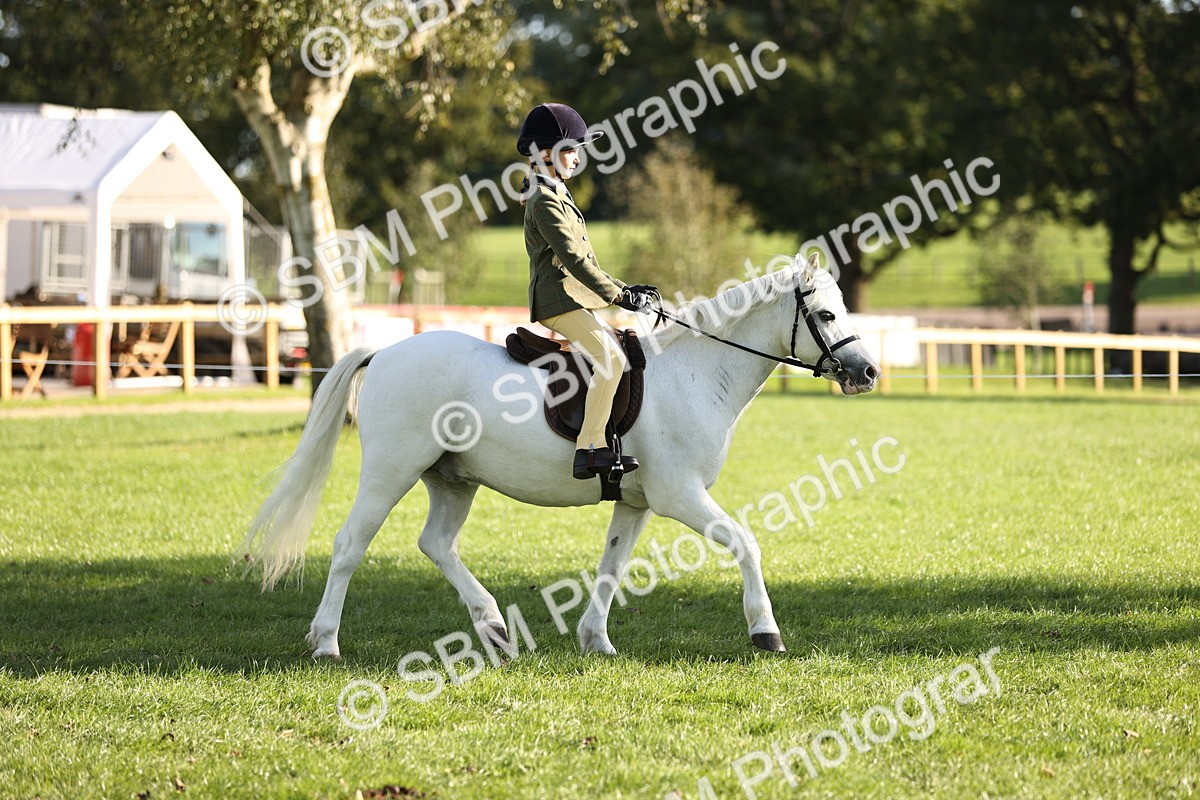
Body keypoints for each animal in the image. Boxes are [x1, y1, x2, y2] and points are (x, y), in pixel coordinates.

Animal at [245, 254, 880, 658]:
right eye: (826, 316)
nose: (868, 373)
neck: (695, 373)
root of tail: (385, 351)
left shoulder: (637, 501)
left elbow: (612, 565)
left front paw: (595, 640)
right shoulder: (679, 495)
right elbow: (746, 543)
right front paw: (766, 633)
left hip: (453, 480)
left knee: (436, 544)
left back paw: (494, 628)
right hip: (390, 471)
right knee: (350, 545)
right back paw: (326, 641)